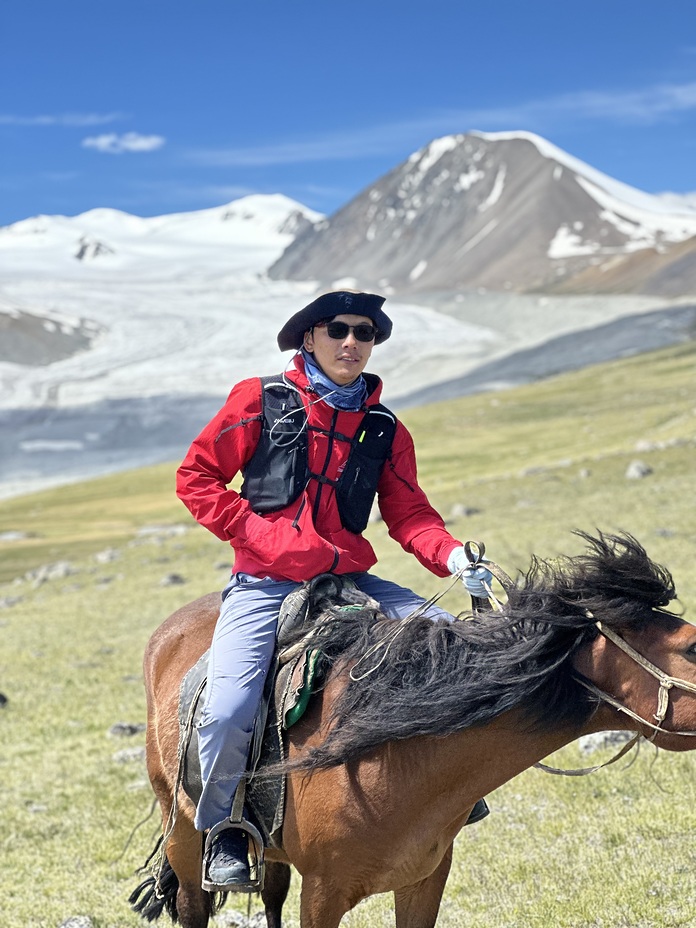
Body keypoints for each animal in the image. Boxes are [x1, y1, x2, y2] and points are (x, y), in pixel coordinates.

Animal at [130, 528, 696, 928]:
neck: (392, 757)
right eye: (691, 647)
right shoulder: (323, 892)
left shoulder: (424, 879)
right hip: (183, 835)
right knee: (194, 907)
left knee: (270, 896)